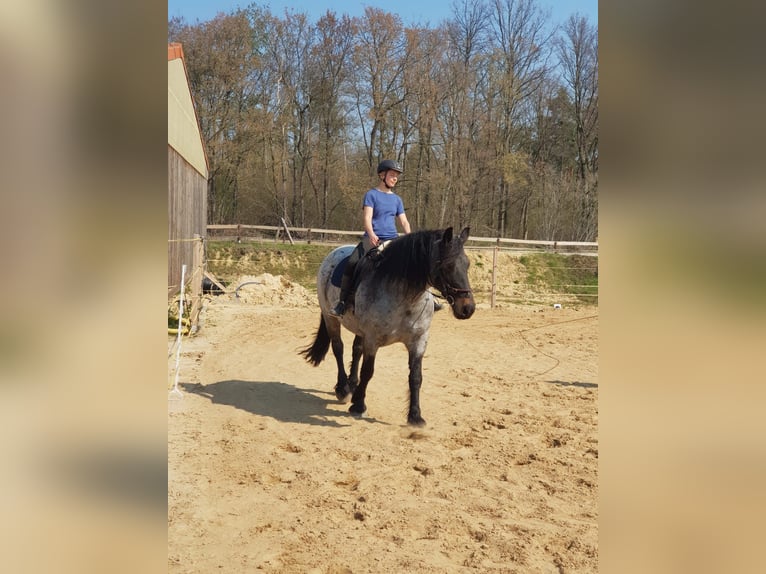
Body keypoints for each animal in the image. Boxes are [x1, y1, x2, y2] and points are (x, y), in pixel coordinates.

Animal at [298, 227, 474, 426]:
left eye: (467, 264)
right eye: (448, 266)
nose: (467, 308)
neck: (406, 298)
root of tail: (335, 251)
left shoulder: (419, 340)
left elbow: (416, 376)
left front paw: (415, 416)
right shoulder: (373, 340)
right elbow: (368, 371)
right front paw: (358, 406)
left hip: (359, 329)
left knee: (356, 350)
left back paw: (352, 385)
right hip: (331, 318)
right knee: (338, 348)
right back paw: (343, 389)